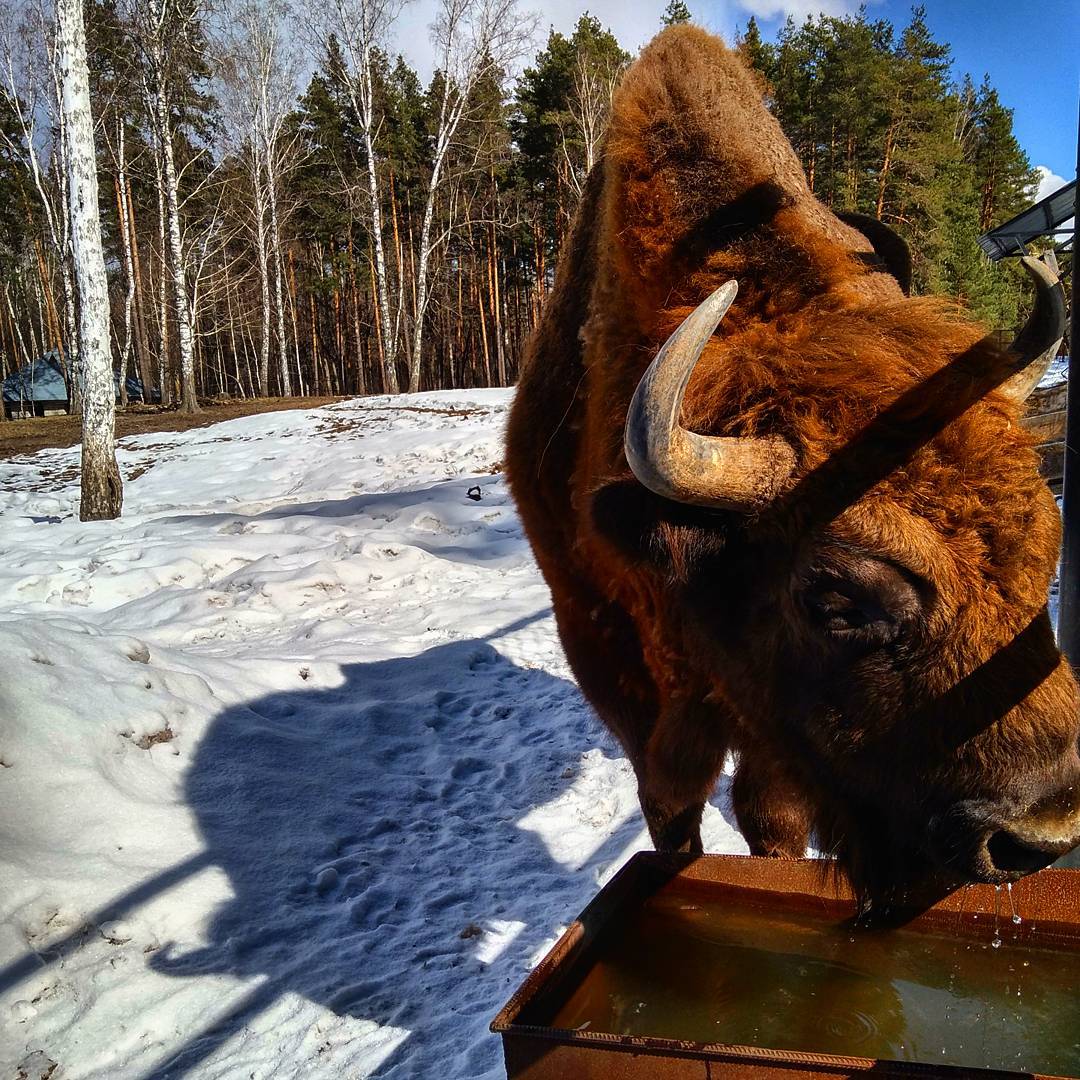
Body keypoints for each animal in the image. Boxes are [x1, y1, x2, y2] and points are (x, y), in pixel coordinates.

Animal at [507, 27, 1080, 902]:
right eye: (835, 599)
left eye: (1048, 543)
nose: (1039, 838)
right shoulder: (607, 654)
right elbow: (670, 804)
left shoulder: (766, 739)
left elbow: (769, 815)